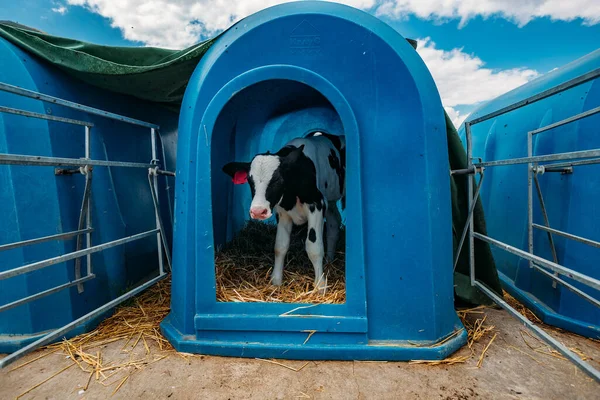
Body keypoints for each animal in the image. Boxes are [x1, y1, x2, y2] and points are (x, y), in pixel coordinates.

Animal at [221, 133, 344, 292]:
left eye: (277, 180)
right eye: (249, 180)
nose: (258, 211)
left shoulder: (317, 205)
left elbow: (314, 247)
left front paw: (320, 286)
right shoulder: (282, 213)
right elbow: (280, 246)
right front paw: (276, 280)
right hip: (331, 199)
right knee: (334, 222)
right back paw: (329, 260)